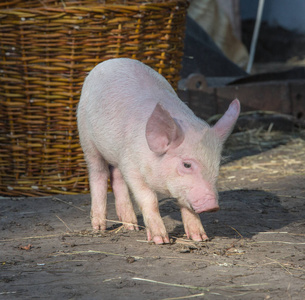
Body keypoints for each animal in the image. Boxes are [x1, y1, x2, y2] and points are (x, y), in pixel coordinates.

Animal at [76, 58, 240, 244]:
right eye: (187, 165)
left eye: (217, 165)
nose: (212, 205)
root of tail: (110, 61)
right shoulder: (132, 168)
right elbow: (149, 200)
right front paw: (161, 240)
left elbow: (185, 204)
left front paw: (200, 238)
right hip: (87, 140)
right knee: (98, 174)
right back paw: (99, 227)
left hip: (116, 155)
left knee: (117, 177)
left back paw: (132, 226)